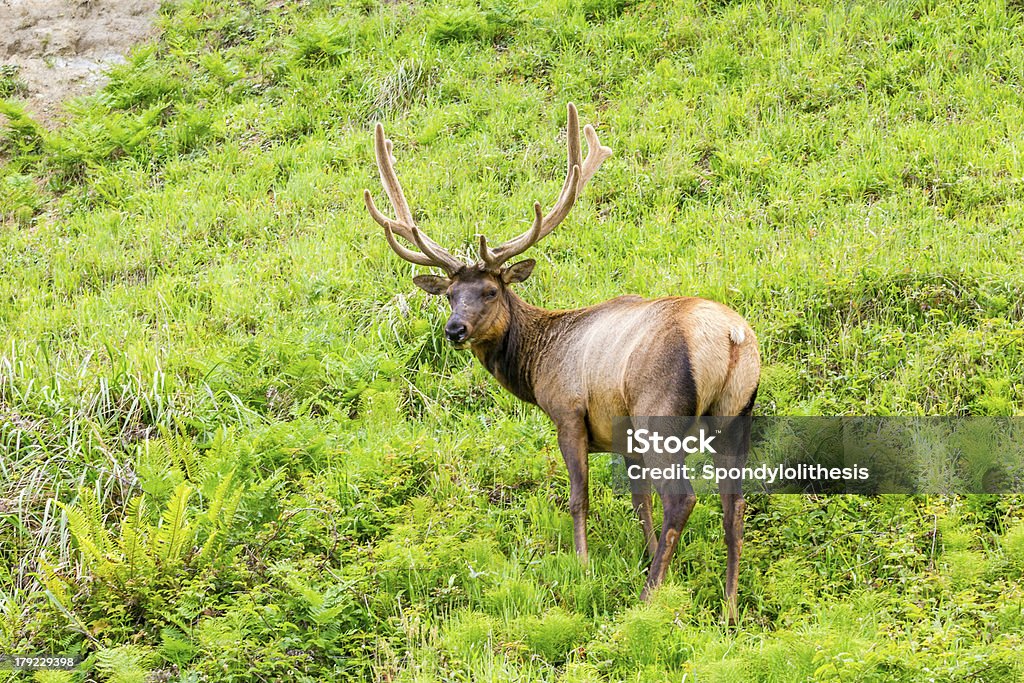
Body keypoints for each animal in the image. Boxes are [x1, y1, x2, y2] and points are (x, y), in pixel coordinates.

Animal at [362, 102, 761, 626]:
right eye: (450, 294)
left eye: (491, 291)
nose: (454, 330)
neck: (537, 364)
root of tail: (731, 337)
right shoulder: (621, 435)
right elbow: (639, 501)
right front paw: (646, 555)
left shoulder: (570, 412)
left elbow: (580, 497)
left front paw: (585, 564)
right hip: (736, 412)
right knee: (734, 501)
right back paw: (730, 609)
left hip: (661, 410)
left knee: (683, 497)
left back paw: (648, 598)